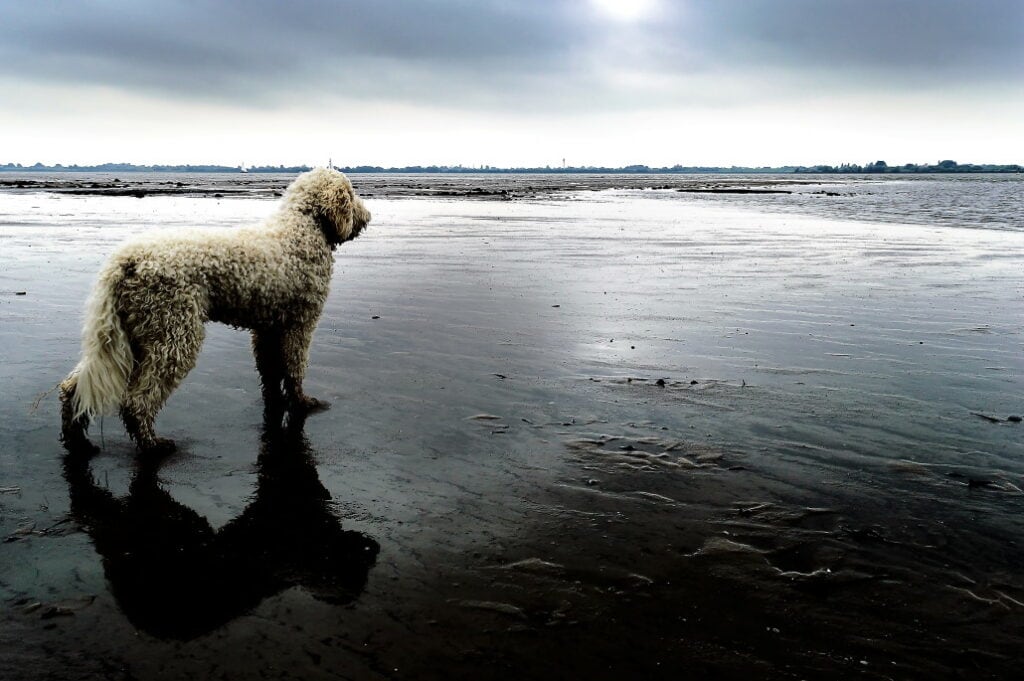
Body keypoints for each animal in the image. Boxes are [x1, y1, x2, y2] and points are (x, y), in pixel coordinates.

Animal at [59, 165, 372, 450]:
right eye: (351, 193)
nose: (368, 216)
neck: (304, 227)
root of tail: (126, 261)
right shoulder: (300, 324)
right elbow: (294, 368)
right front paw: (302, 402)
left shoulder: (268, 328)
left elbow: (271, 371)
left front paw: (276, 403)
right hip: (173, 333)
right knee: (138, 400)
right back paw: (152, 444)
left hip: (138, 333)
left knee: (74, 387)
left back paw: (75, 436)